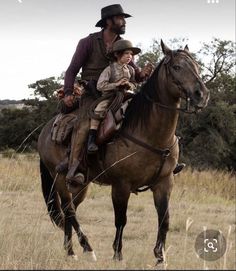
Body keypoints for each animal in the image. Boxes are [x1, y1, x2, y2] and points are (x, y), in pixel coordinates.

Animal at [37, 40, 209, 266]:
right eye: (177, 67)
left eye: (197, 66)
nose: (201, 95)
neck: (149, 133)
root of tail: (46, 129)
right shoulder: (121, 185)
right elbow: (121, 220)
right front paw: (117, 255)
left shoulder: (164, 183)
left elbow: (164, 220)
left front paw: (160, 258)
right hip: (60, 179)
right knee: (70, 210)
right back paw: (87, 249)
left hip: (80, 185)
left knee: (69, 212)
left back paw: (70, 251)